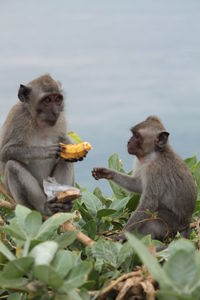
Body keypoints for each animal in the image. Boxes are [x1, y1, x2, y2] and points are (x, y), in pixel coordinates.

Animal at [0, 74, 82, 216]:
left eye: (57, 99)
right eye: (47, 100)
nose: (55, 112)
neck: (40, 122)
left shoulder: (61, 118)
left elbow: (62, 138)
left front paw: (69, 144)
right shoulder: (17, 116)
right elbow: (4, 152)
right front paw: (44, 151)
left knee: (65, 160)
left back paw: (64, 202)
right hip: (20, 202)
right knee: (12, 166)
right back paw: (45, 207)